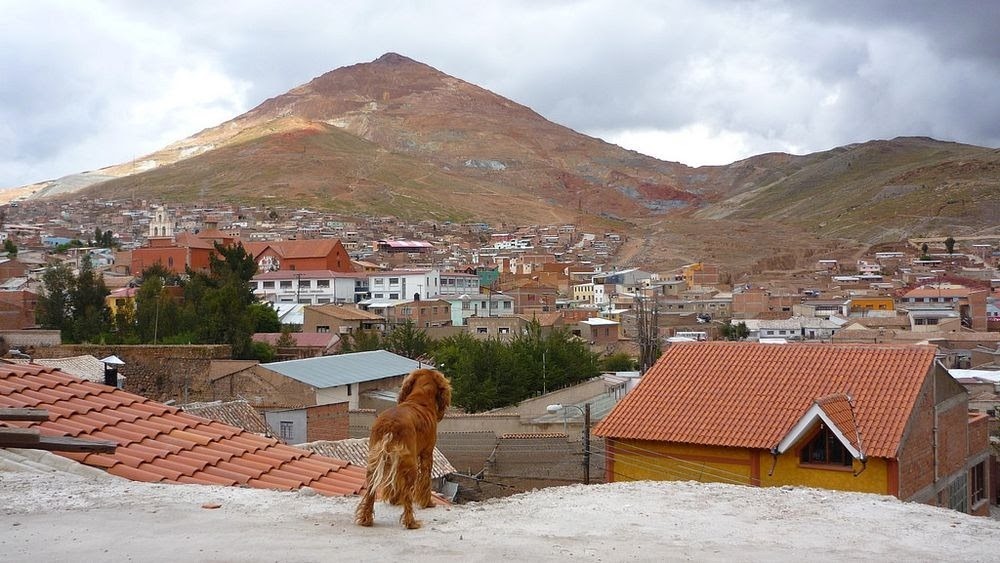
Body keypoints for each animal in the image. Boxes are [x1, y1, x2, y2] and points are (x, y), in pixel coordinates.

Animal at [354, 368, 452, 532]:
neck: (419, 399)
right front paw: (428, 503)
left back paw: (366, 519)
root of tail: (390, 424)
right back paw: (411, 522)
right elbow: (425, 479)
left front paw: (393, 500)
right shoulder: (427, 453)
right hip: (409, 464)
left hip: (375, 461)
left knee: (371, 490)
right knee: (407, 494)